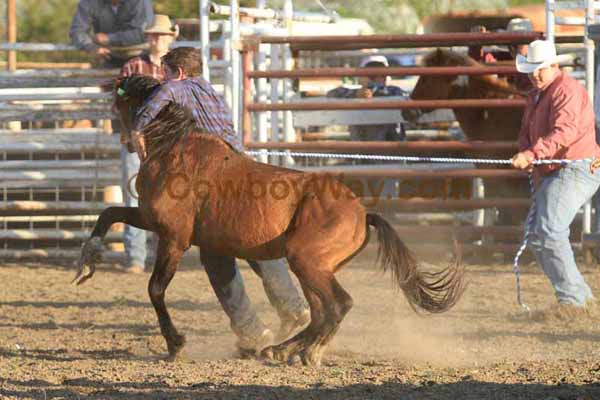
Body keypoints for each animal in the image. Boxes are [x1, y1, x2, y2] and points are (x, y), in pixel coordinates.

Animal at [74, 74, 464, 366]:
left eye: (118, 102)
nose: (121, 137)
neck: (175, 148)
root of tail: (362, 212)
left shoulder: (173, 236)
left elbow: (155, 289)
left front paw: (175, 344)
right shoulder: (150, 218)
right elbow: (108, 214)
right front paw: (86, 264)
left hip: (307, 261)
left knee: (338, 305)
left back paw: (301, 350)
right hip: (310, 267)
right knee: (320, 311)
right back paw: (283, 348)